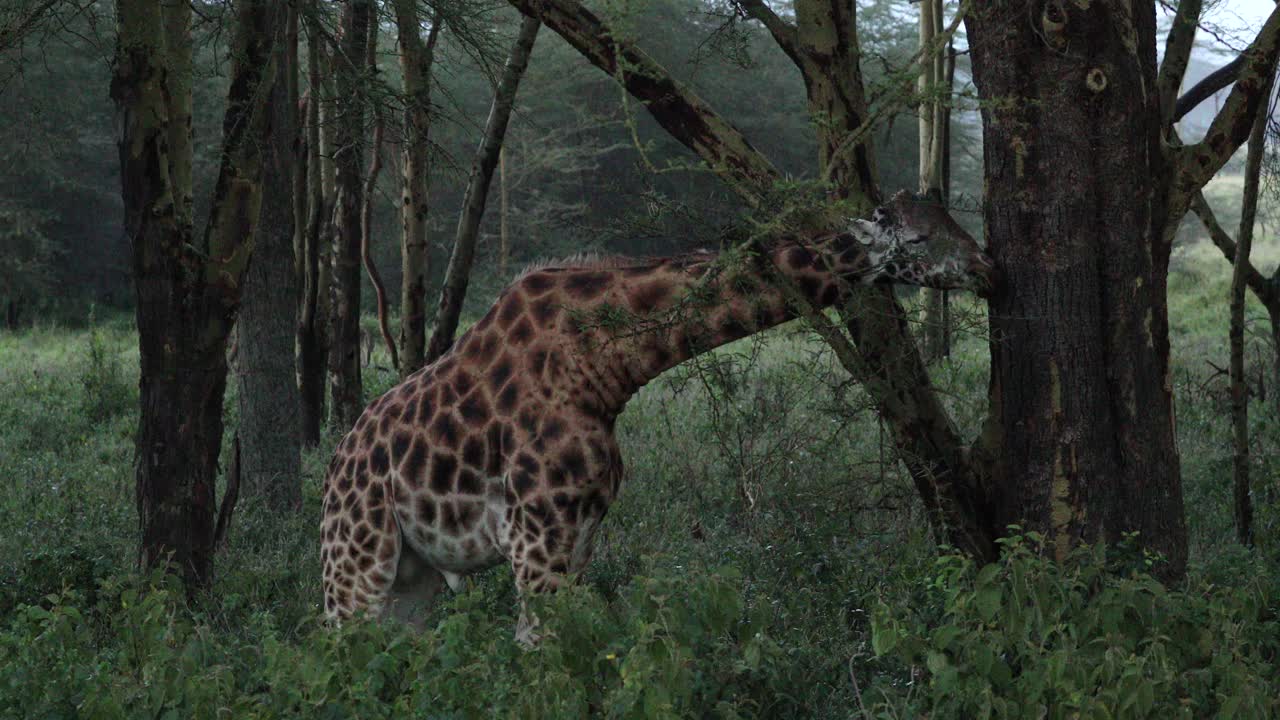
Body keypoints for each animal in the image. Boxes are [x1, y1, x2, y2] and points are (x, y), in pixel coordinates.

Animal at [319, 191, 997, 639]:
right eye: (920, 239)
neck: (602, 362)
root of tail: (334, 468)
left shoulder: (580, 535)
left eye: (949, 220)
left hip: (413, 577)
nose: (988, 266)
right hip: (355, 564)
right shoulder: (536, 539)